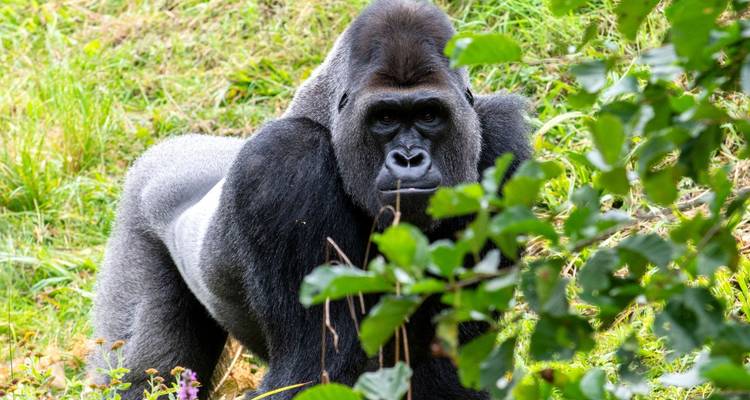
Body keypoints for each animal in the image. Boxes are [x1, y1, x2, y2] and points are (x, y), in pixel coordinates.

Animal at [90, 1, 531, 399]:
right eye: (385, 118)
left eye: (428, 115)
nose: (409, 158)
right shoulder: (285, 163)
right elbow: (315, 369)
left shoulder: (503, 144)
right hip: (138, 207)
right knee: (141, 375)